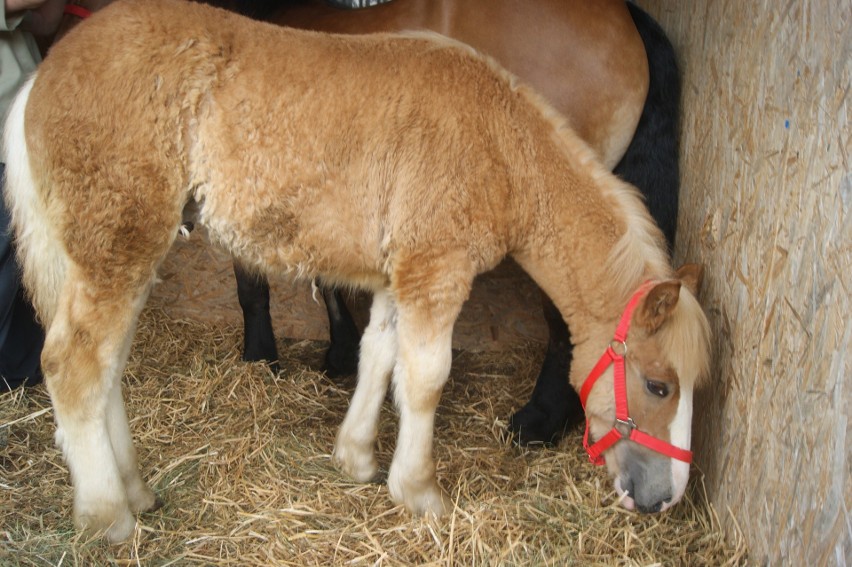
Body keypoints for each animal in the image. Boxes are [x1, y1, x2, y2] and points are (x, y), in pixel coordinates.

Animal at [5, 0, 712, 540]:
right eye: (659, 386)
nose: (666, 496)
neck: (501, 147)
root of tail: (42, 76)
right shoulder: (436, 270)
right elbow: (425, 377)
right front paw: (419, 492)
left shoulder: (403, 274)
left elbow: (379, 353)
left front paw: (356, 457)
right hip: (118, 246)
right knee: (73, 366)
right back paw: (108, 517)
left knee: (107, 368)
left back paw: (136, 491)